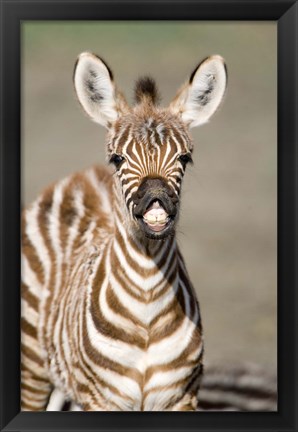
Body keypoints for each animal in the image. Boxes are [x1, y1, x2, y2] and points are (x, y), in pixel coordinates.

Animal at [21, 53, 227, 412]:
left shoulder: (181, 398)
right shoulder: (102, 399)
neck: (146, 303)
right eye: (117, 159)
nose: (156, 199)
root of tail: (83, 175)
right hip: (33, 364)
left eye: (184, 158)